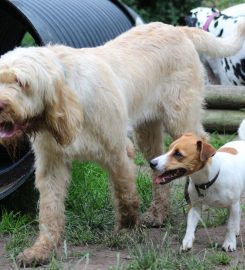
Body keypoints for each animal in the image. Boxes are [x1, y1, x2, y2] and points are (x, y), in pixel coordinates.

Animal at [150, 119, 245, 251]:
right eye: (169, 149)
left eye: (178, 154)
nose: (151, 163)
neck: (208, 181)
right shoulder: (194, 206)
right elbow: (190, 226)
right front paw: (186, 242)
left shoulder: (232, 204)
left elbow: (229, 226)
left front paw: (230, 242)